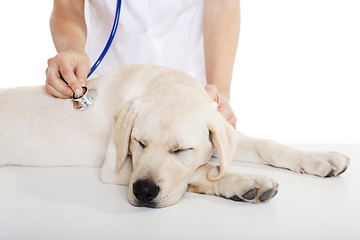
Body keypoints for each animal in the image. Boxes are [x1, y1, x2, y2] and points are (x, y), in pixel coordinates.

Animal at [0, 64, 348, 208]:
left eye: (182, 150)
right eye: (139, 143)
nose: (143, 192)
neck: (166, 82)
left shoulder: (223, 133)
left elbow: (265, 145)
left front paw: (320, 158)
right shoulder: (115, 167)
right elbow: (203, 171)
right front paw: (245, 183)